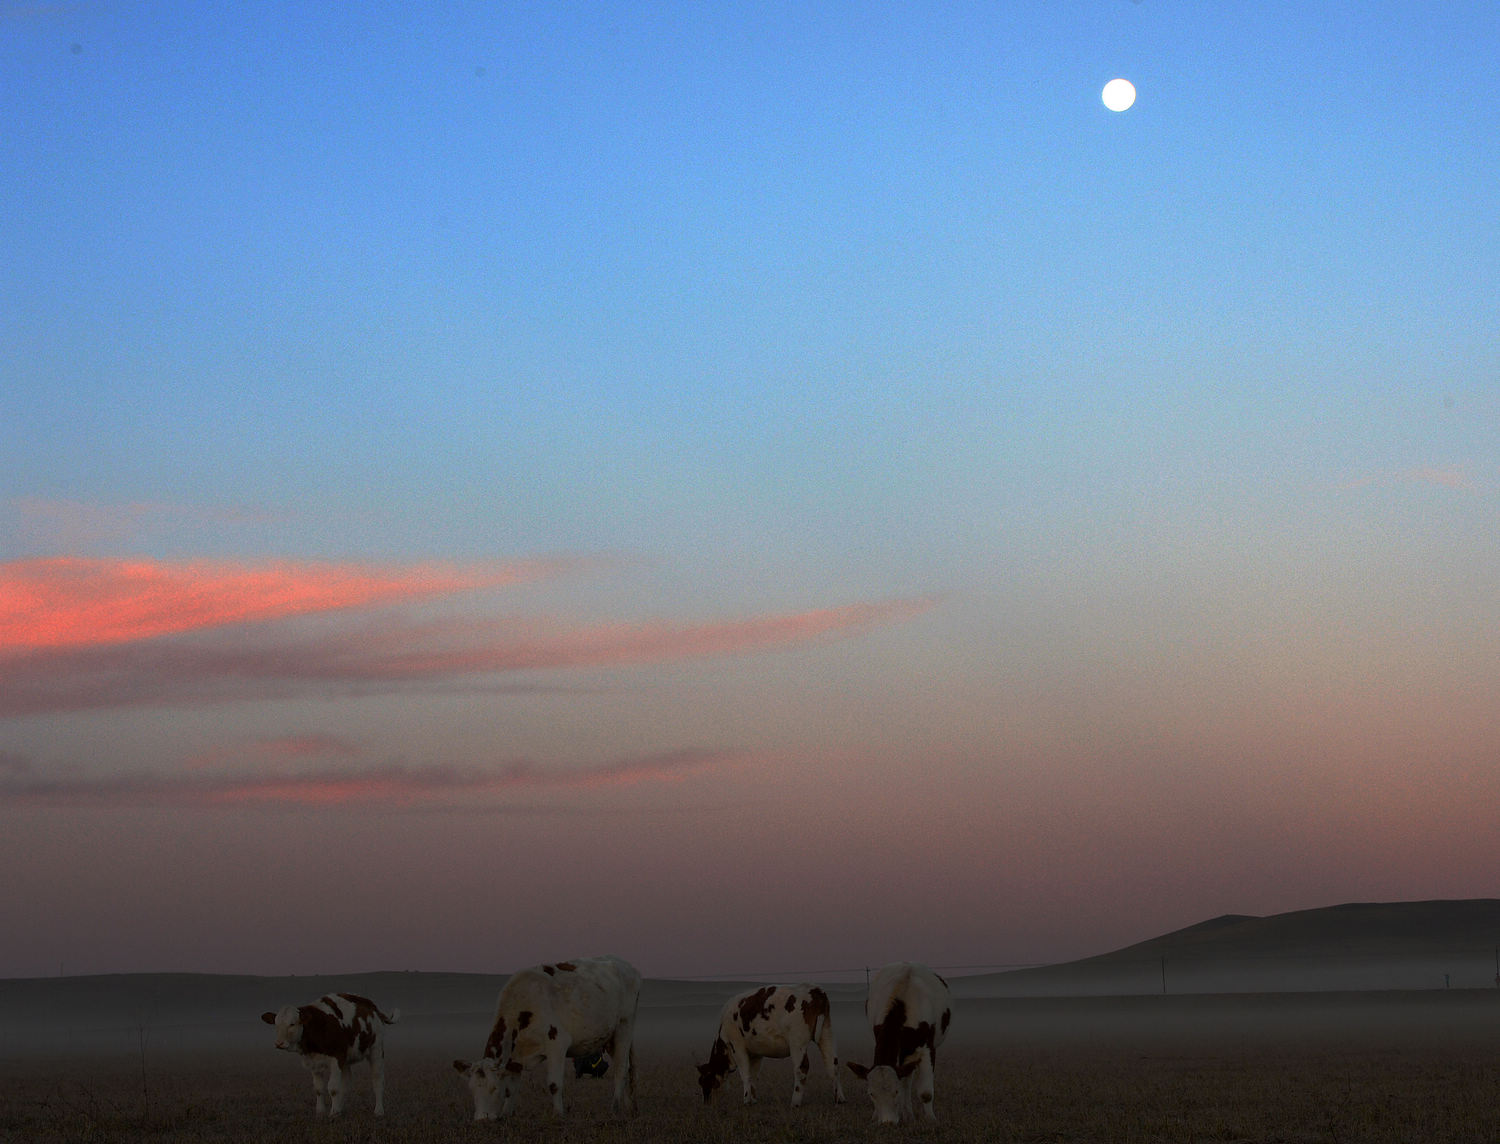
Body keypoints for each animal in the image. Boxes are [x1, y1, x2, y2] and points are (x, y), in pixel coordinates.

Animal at [261, 995, 399, 1121]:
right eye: (276, 1024)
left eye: (292, 1024)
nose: (279, 1043)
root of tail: (371, 1006)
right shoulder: (314, 1062)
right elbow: (319, 1088)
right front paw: (321, 1112)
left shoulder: (336, 1059)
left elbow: (332, 1088)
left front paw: (333, 1113)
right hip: (346, 1059)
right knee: (346, 1082)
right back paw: (340, 1109)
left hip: (376, 1049)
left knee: (377, 1080)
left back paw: (379, 1111)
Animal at [456, 953, 645, 1121]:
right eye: (472, 1089)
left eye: (494, 1088)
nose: (482, 1119)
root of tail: (627, 966)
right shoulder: (516, 1056)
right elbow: (512, 1087)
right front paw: (506, 1113)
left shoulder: (557, 1043)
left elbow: (554, 1084)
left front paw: (558, 1115)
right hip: (609, 1038)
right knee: (627, 1068)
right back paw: (629, 1107)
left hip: (624, 1027)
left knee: (620, 1070)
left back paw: (615, 1107)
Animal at [699, 983, 852, 1109]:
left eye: (704, 1081)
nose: (706, 1102)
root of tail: (815, 991)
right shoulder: (756, 1053)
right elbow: (753, 1074)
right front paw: (753, 1099)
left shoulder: (737, 1046)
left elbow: (745, 1074)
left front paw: (746, 1100)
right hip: (827, 1034)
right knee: (833, 1065)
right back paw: (840, 1099)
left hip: (797, 1041)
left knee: (801, 1068)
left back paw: (795, 1102)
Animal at [846, 959, 948, 1121]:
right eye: (871, 1094)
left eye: (895, 1092)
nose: (887, 1122)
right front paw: (877, 1116)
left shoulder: (928, 1048)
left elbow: (925, 1093)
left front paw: (931, 1119)